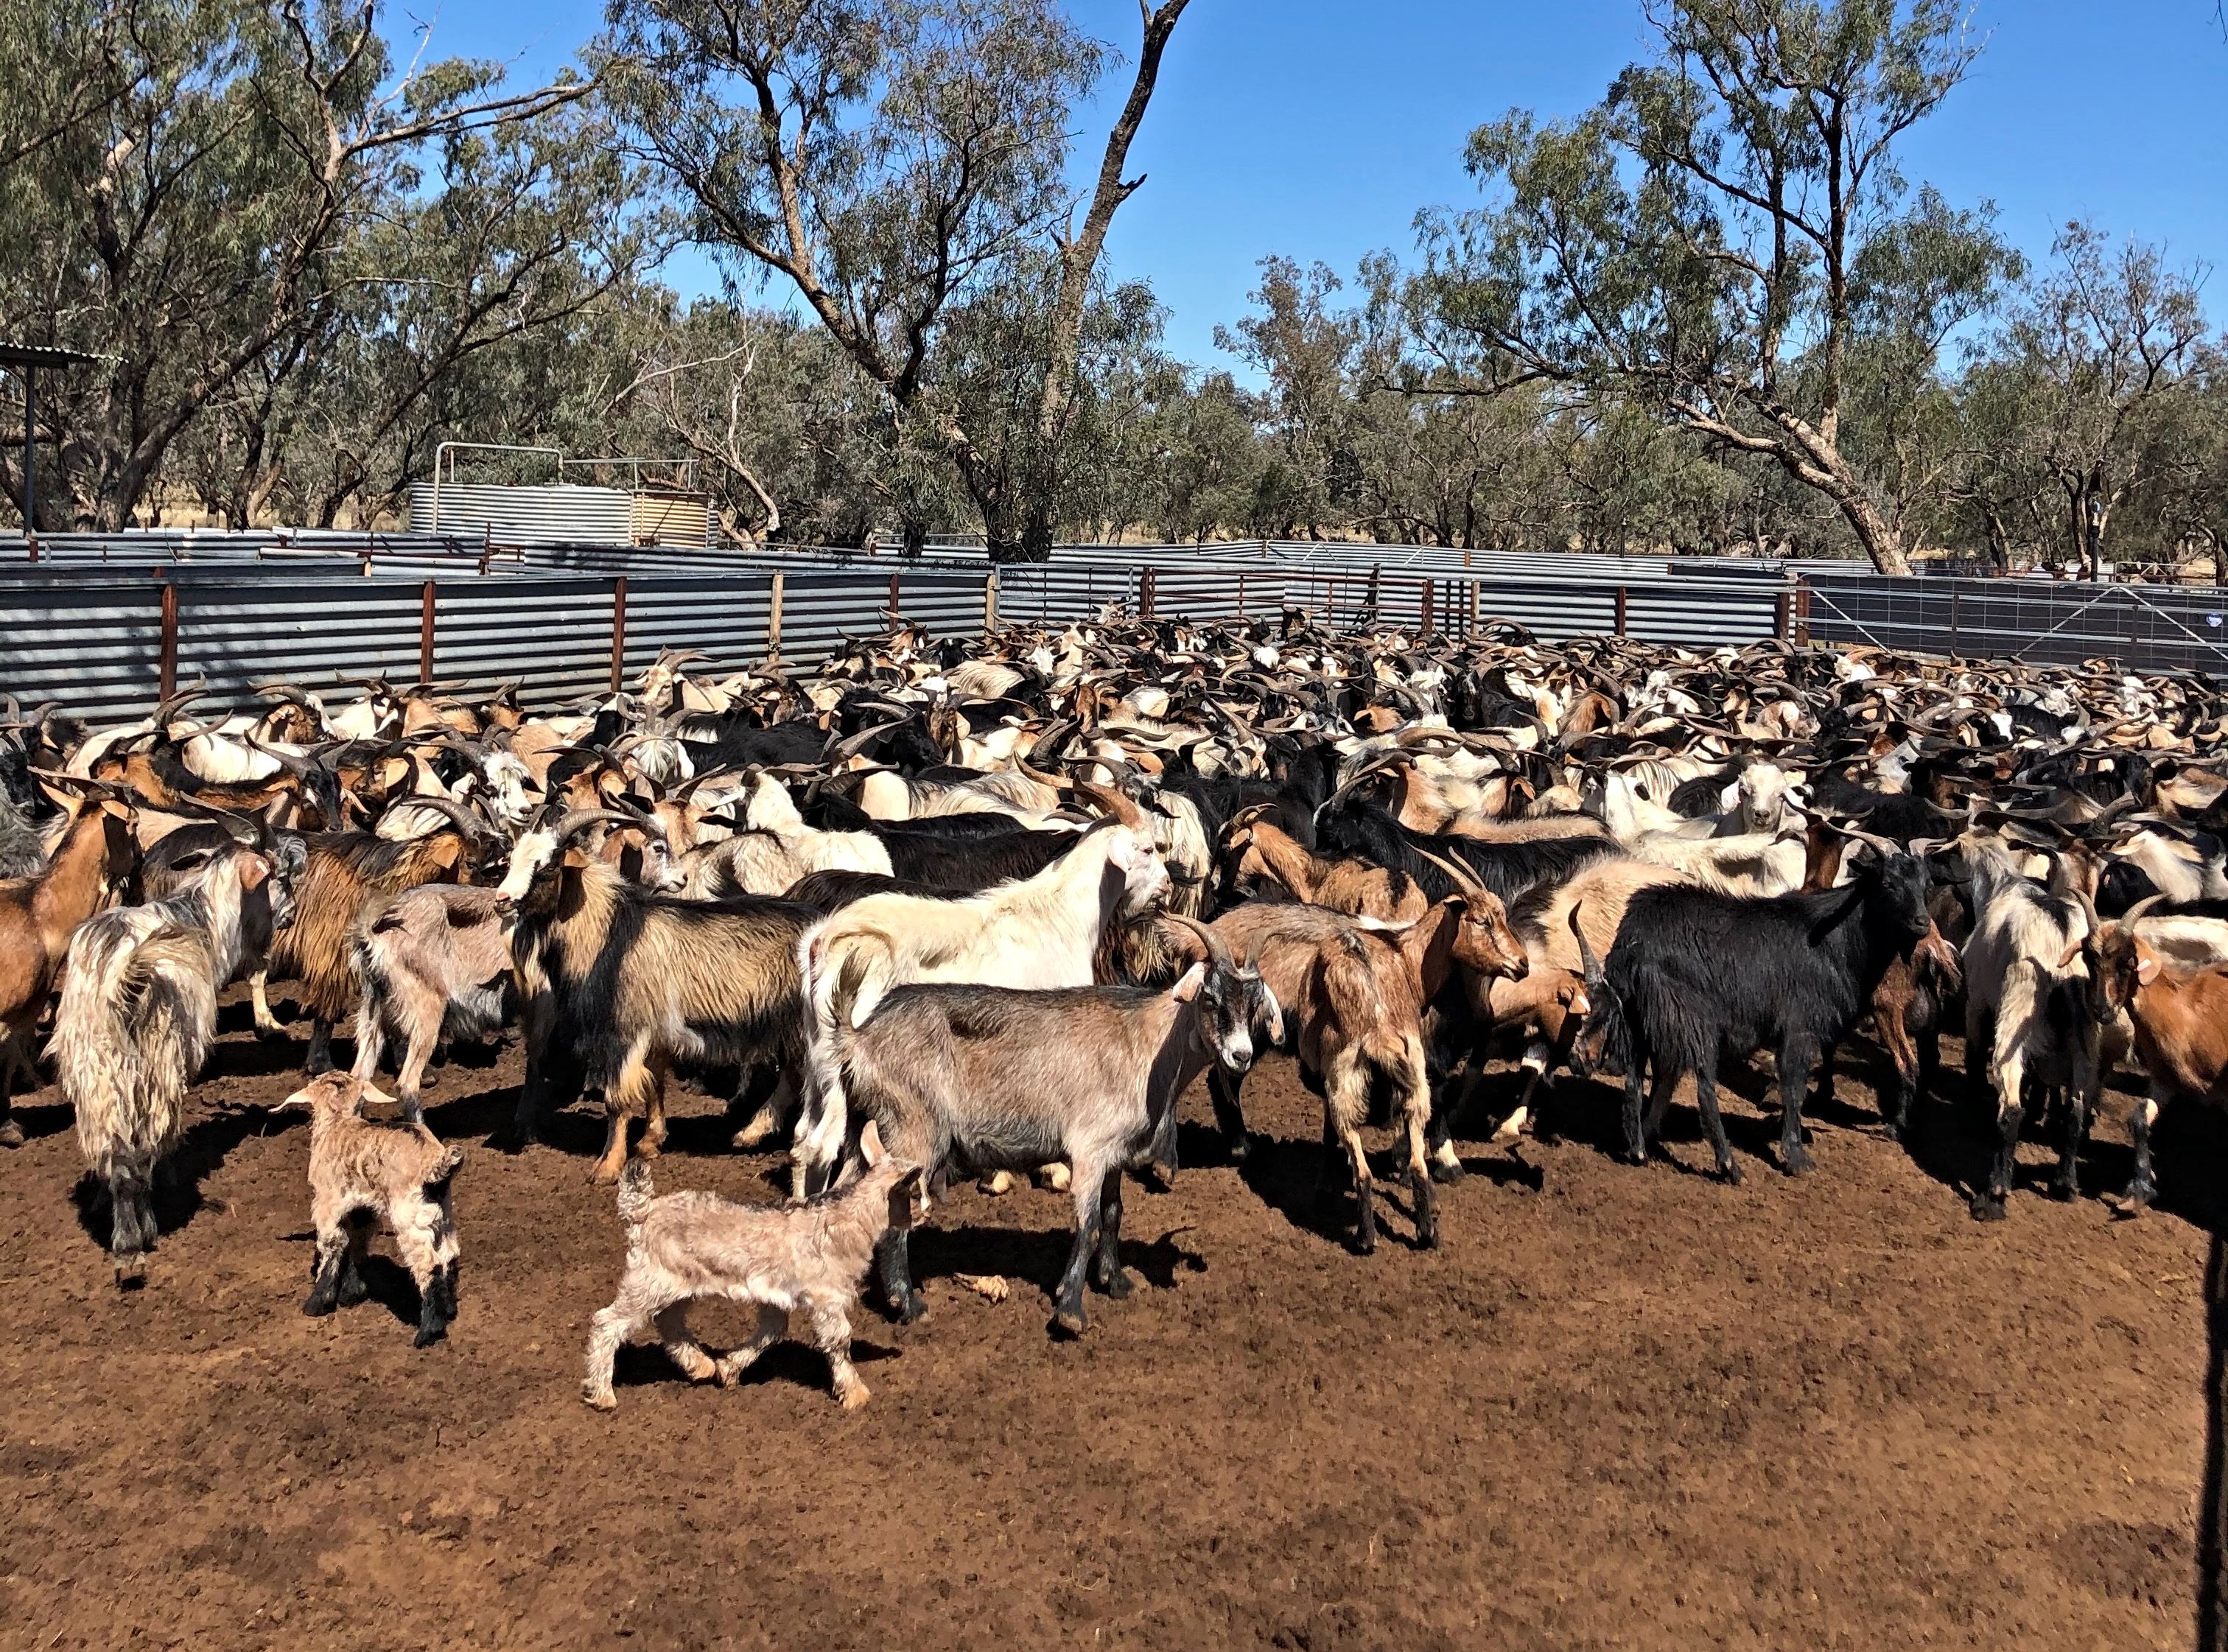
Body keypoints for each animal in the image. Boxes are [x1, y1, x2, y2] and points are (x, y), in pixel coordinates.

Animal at [55, 831, 302, 1280]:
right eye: (279, 877)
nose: (291, 914)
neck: (205, 922)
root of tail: (127, 978)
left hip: (98, 1066)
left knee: (117, 1154)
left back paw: (124, 1240)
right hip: (158, 1061)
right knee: (141, 1152)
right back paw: (140, 1237)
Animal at [277, 1072, 462, 1346]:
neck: (337, 1122)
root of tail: (436, 1165)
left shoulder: (326, 1205)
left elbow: (333, 1244)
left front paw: (318, 1302)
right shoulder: (362, 1208)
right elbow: (358, 1243)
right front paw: (352, 1292)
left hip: (410, 1217)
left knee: (430, 1266)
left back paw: (428, 1331)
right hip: (444, 1215)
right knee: (450, 1256)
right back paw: (448, 1310)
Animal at [582, 1119, 927, 1411]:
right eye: (917, 1192)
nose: (928, 1211)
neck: (849, 1222)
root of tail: (643, 1212)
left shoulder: (775, 1295)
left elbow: (771, 1333)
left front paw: (729, 1368)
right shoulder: (826, 1298)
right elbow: (839, 1340)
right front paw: (855, 1394)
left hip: (677, 1283)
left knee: (669, 1321)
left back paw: (701, 1365)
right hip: (649, 1280)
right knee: (607, 1323)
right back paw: (602, 1394)